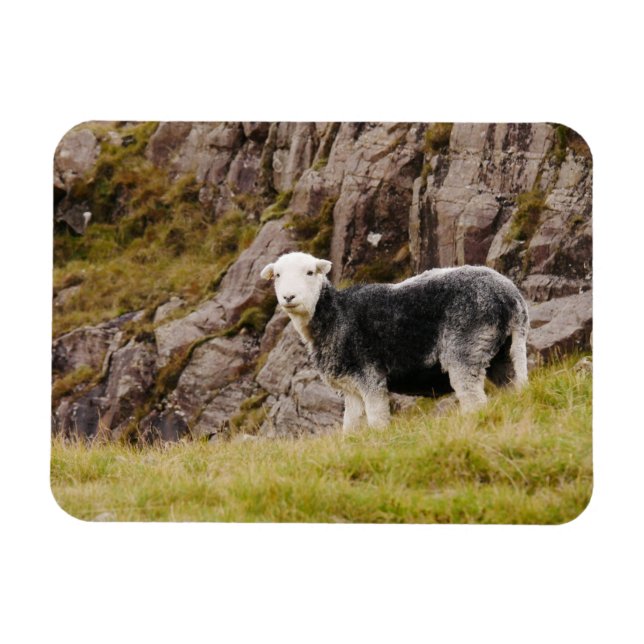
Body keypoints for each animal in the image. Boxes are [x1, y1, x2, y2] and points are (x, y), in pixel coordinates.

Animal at [260, 251, 529, 432]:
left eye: (310, 272)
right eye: (277, 275)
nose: (288, 297)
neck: (332, 314)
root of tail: (509, 296)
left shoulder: (369, 376)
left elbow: (377, 420)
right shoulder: (351, 387)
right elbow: (351, 426)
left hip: (466, 345)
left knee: (475, 400)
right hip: (504, 350)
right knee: (513, 386)